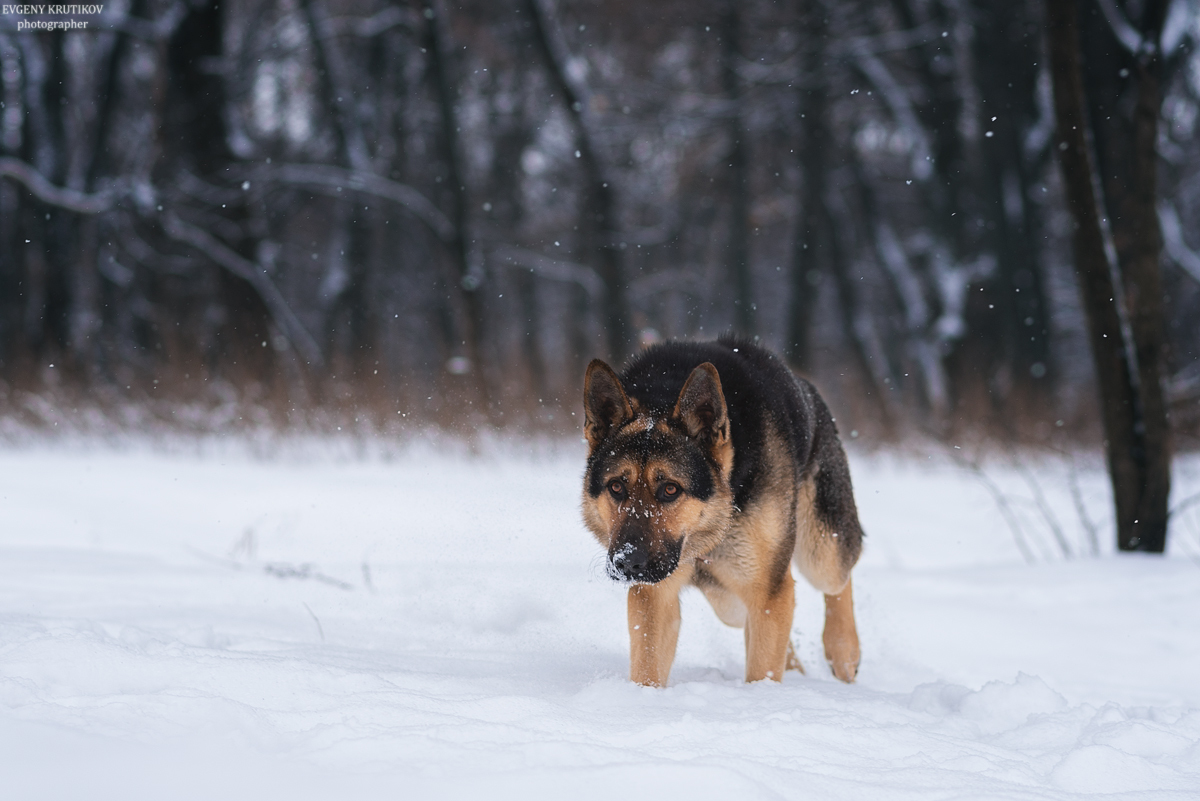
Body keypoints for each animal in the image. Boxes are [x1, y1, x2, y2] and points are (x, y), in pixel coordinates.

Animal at [580, 335, 864, 685]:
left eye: (670, 489)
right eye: (617, 487)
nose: (628, 564)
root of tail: (808, 388)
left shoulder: (766, 589)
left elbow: (763, 669)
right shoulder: (655, 595)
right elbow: (647, 665)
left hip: (818, 554)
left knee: (838, 577)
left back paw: (843, 651)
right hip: (731, 597)